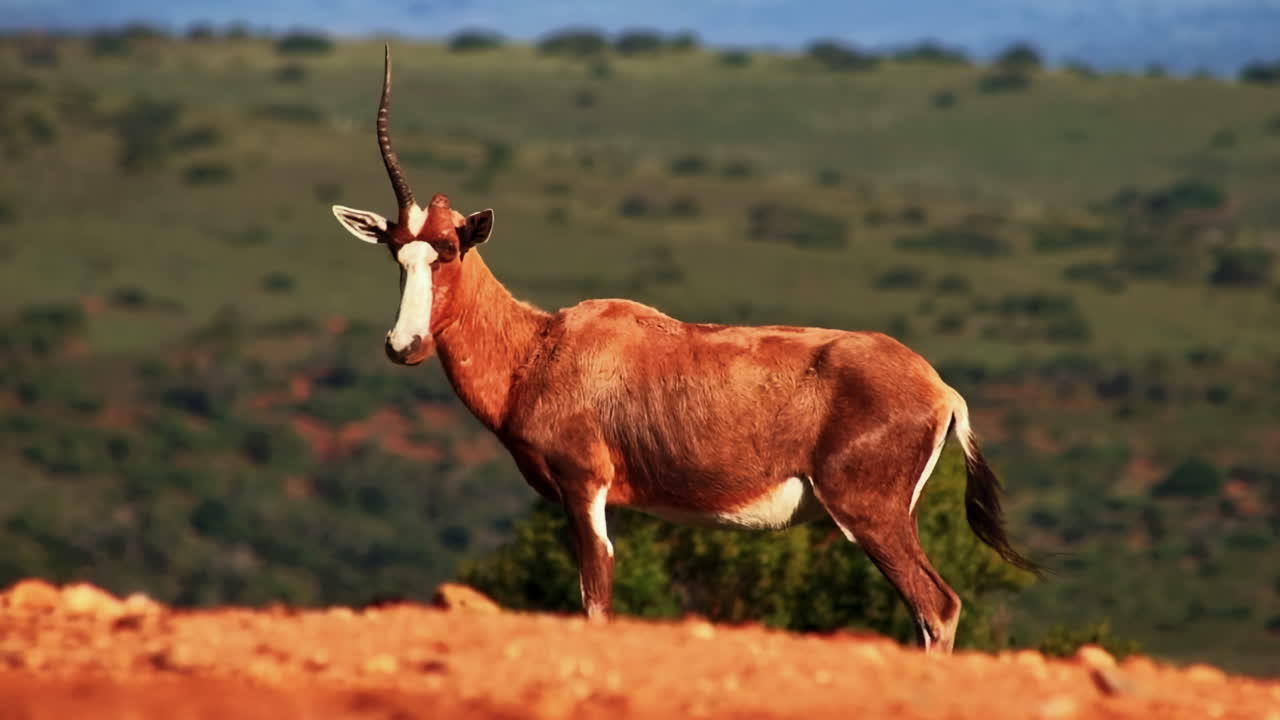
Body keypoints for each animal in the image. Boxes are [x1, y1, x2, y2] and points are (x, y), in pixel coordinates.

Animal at [331, 47, 1039, 653]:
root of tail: (940, 389)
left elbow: (596, 602)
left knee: (937, 606)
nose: (404, 345)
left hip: (870, 514)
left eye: (450, 250)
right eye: (397, 252)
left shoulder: (584, 487)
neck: (541, 348)